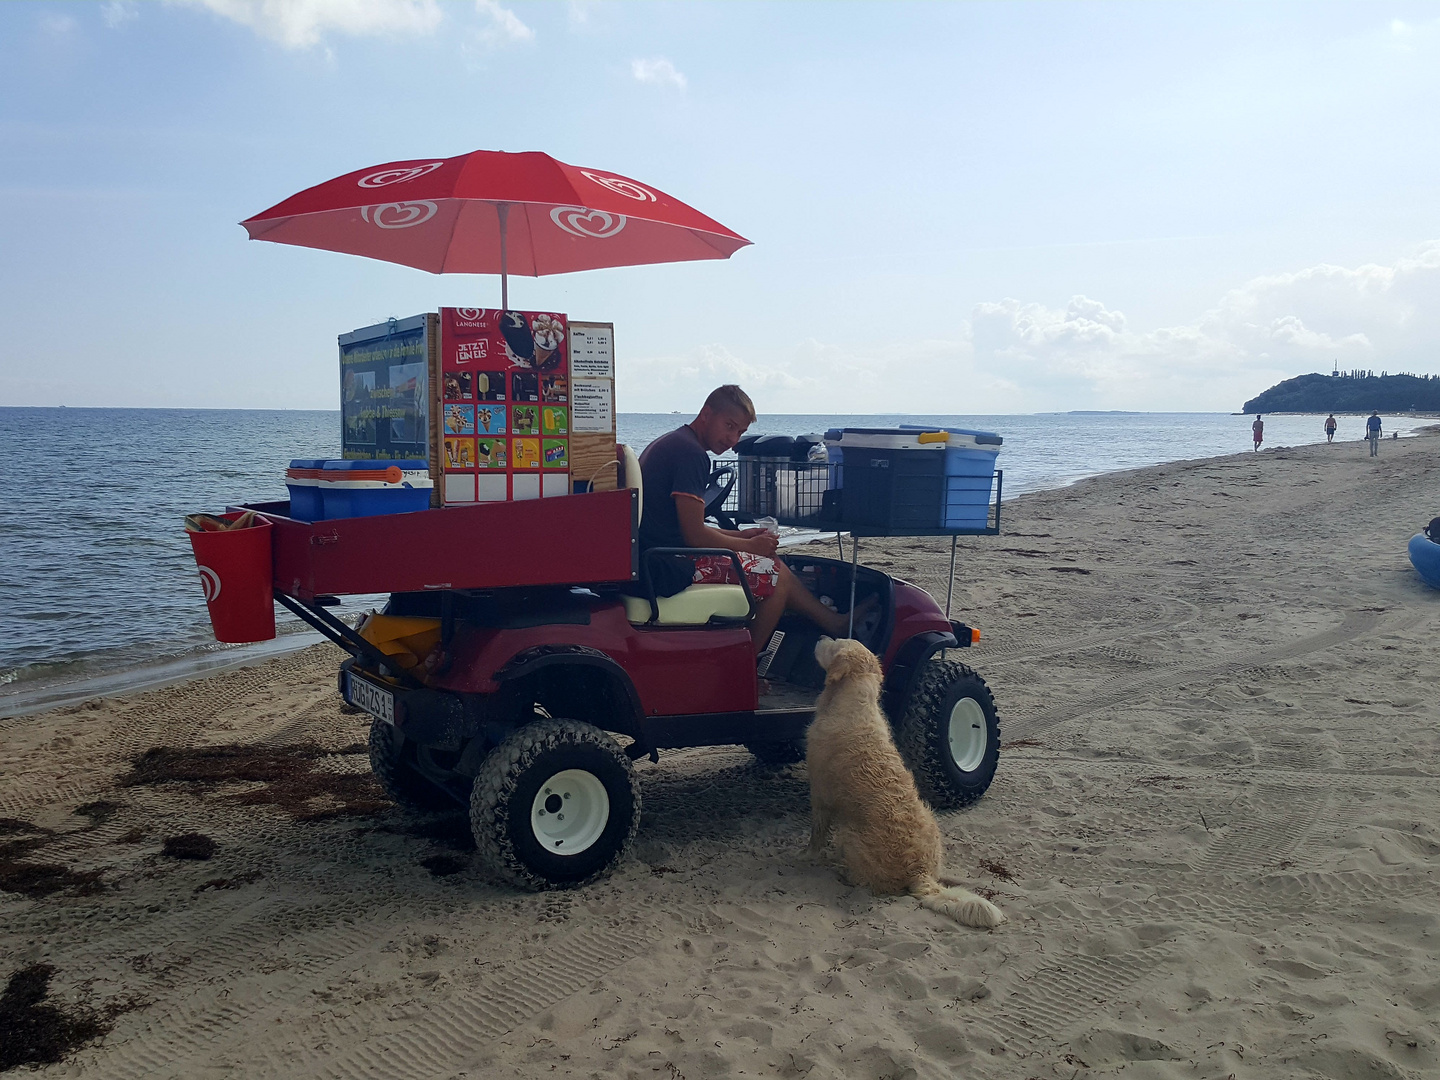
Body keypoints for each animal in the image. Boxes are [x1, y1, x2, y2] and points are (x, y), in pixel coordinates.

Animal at [812, 642, 1002, 933]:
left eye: (834, 643)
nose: (820, 636)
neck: (853, 700)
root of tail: (919, 872)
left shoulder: (820, 796)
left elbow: (816, 835)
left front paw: (807, 856)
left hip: (848, 833)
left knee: (862, 879)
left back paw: (840, 868)